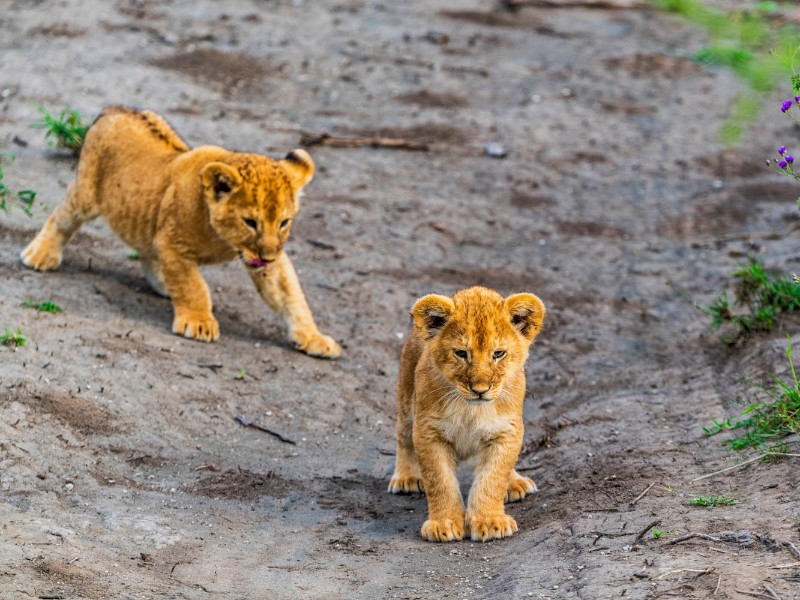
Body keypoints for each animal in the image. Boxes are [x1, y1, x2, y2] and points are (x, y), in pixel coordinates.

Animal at [21, 106, 340, 358]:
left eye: (284, 222)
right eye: (250, 222)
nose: (268, 256)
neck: (222, 239)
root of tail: (116, 109)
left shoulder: (266, 259)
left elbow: (291, 296)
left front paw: (314, 338)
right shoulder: (173, 243)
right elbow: (193, 286)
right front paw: (198, 322)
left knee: (145, 245)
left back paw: (162, 282)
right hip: (86, 194)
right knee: (62, 217)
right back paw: (40, 255)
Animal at [388, 286, 546, 542]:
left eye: (498, 353)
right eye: (461, 353)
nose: (480, 389)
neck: (470, 410)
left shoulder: (506, 432)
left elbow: (492, 479)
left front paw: (490, 521)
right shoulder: (428, 432)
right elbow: (440, 481)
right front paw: (444, 523)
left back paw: (514, 482)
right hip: (405, 397)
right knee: (403, 437)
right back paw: (406, 477)